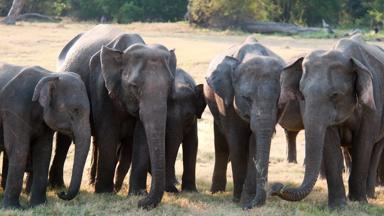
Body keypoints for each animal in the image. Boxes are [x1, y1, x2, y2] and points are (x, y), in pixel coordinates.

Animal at [0, 63, 91, 208]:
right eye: (75, 110)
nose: (61, 193)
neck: (49, 76)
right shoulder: (14, 109)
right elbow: (19, 148)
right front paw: (13, 208)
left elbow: (43, 150)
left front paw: (38, 205)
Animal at [47, 24, 177, 209]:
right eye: (134, 86)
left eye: (169, 86)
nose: (141, 203)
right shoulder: (101, 85)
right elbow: (108, 131)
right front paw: (105, 193)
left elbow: (141, 134)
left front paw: (137, 193)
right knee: (64, 140)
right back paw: (58, 187)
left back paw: (90, 183)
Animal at [204, 36, 284, 208]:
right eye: (247, 99)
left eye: (278, 101)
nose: (278, 189)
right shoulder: (225, 99)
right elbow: (236, 140)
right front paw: (237, 199)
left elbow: (254, 142)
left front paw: (247, 199)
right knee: (221, 141)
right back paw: (216, 191)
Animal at [272, 34, 384, 208]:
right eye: (302, 95)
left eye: (335, 95)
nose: (278, 188)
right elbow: (329, 143)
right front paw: (338, 206)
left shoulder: (373, 105)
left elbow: (364, 143)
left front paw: (359, 202)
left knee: (375, 150)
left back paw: (369, 194)